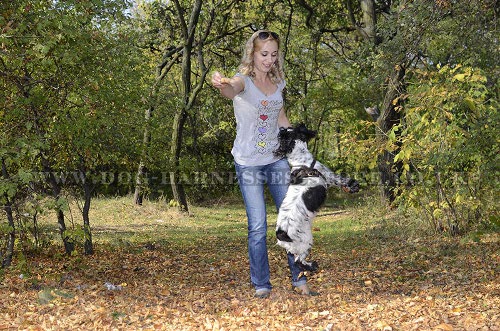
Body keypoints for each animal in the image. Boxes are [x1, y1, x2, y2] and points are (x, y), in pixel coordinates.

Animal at [274, 124, 360, 272]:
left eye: (288, 129)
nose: (280, 128)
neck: (303, 164)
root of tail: (282, 233)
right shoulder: (330, 177)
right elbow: (342, 180)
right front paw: (354, 186)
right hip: (306, 239)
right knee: (299, 261)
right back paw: (312, 266)